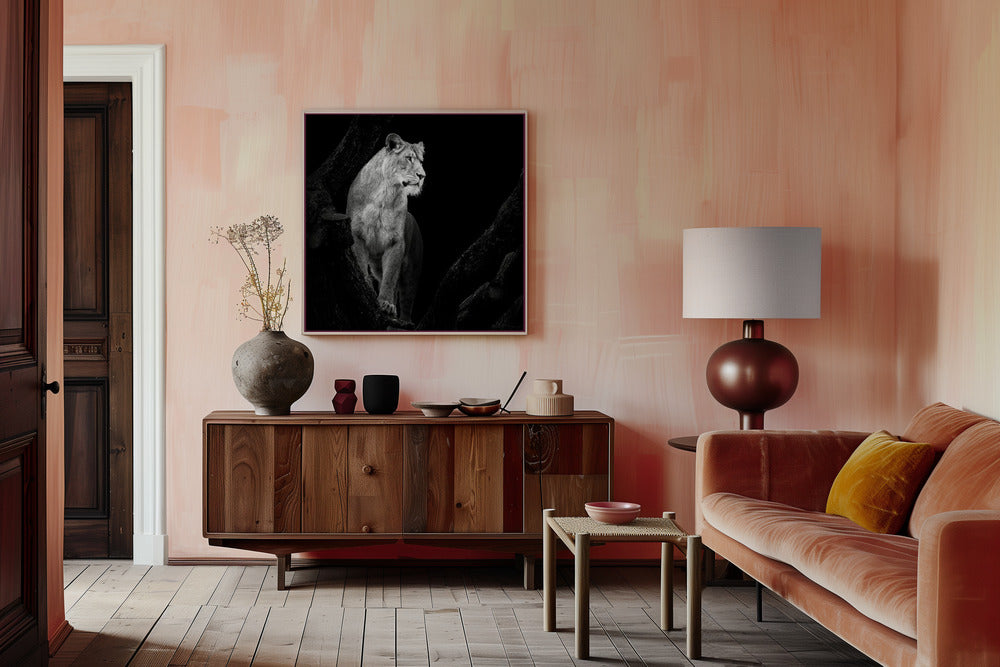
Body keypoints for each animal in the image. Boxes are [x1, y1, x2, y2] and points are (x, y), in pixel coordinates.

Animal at [346, 133, 425, 322]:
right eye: (409, 158)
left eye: (421, 161)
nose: (422, 176)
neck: (386, 193)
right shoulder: (356, 234)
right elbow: (361, 266)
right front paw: (368, 290)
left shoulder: (395, 242)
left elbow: (390, 278)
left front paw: (386, 304)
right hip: (376, 265)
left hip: (412, 270)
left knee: (406, 298)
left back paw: (403, 322)